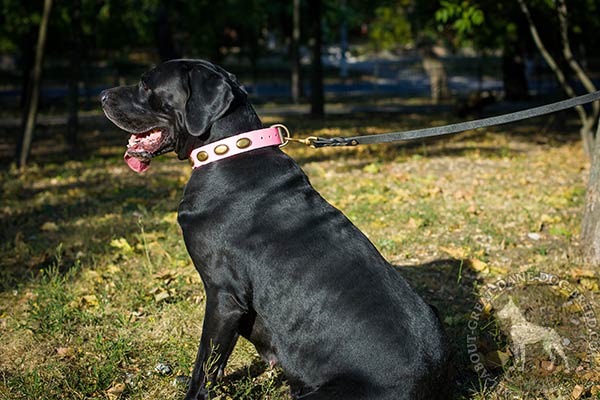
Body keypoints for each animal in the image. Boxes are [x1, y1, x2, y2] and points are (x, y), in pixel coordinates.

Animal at [101, 60, 452, 400]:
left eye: (146, 83)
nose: (103, 95)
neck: (229, 149)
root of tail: (433, 379)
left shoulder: (224, 296)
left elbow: (205, 363)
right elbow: (214, 365)